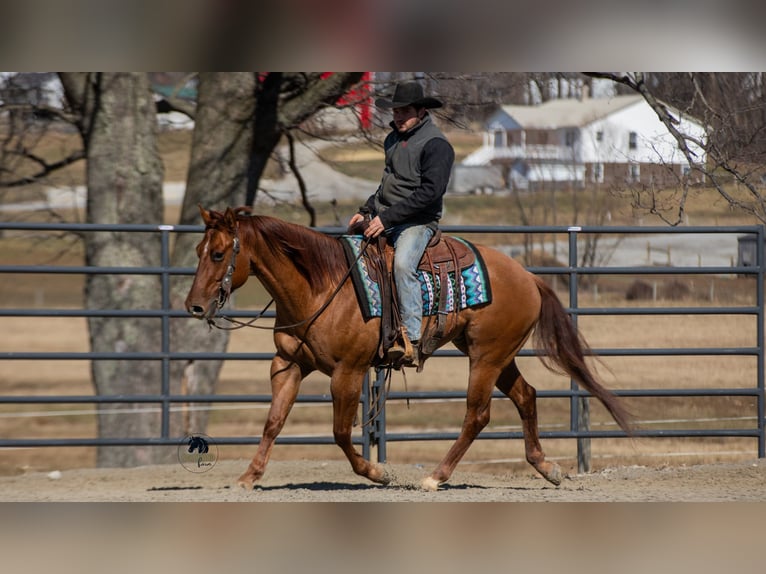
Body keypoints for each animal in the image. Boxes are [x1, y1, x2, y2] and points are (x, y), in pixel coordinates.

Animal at [185, 206, 632, 491]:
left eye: (219, 254)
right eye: (199, 251)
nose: (195, 306)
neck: (321, 286)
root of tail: (528, 276)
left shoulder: (348, 372)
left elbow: (341, 433)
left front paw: (379, 473)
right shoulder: (287, 365)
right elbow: (273, 422)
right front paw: (249, 476)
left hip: (486, 357)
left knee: (478, 415)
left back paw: (436, 476)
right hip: (497, 355)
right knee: (526, 396)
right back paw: (547, 468)